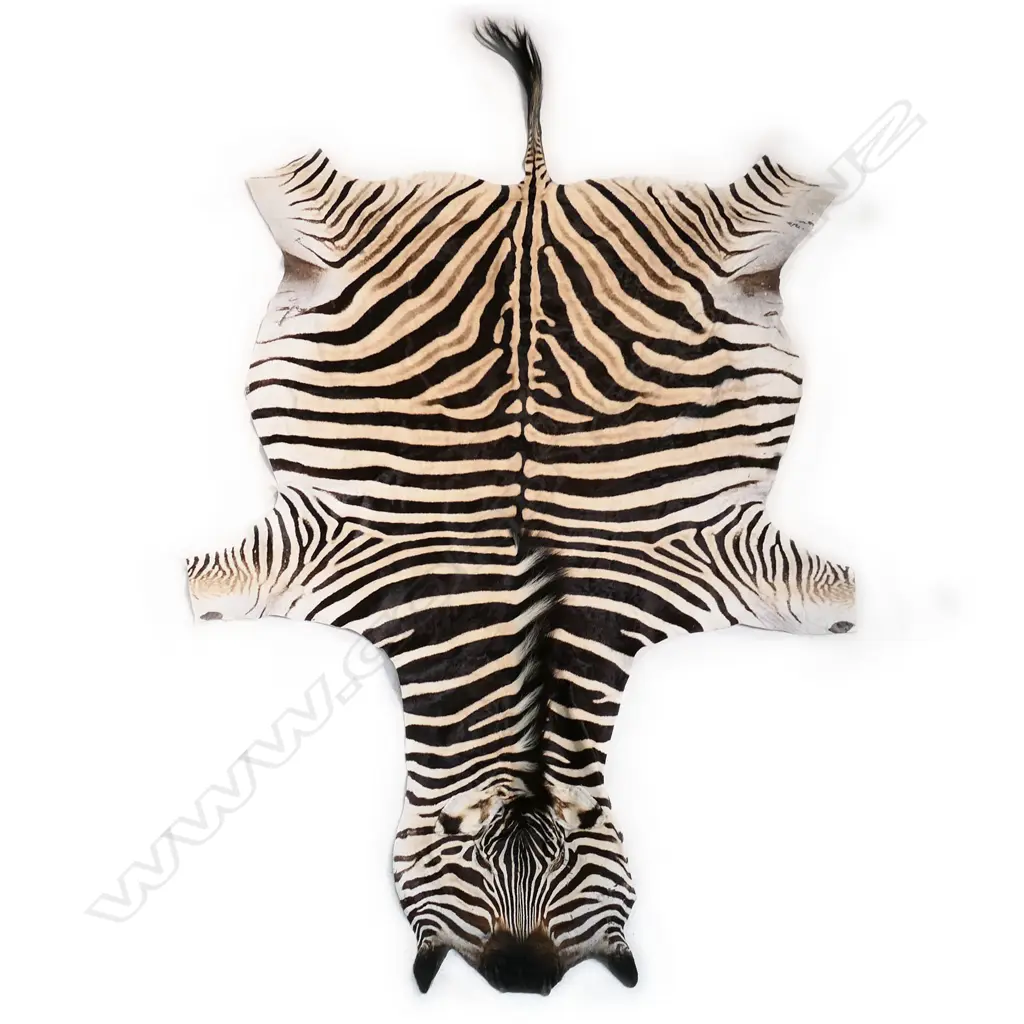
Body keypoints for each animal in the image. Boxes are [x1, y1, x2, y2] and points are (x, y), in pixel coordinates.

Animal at [186, 20, 856, 993]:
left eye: (578, 916)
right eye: (466, 903)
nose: (523, 983)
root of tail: (534, 193)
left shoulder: (731, 558)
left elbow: (834, 609)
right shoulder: (309, 546)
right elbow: (208, 595)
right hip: (332, 210)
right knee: (282, 177)